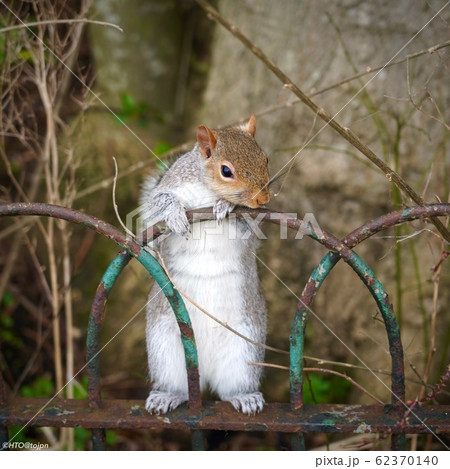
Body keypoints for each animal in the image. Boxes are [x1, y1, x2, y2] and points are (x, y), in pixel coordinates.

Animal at [140, 114, 270, 414]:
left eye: (265, 159)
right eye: (226, 171)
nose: (263, 199)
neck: (207, 190)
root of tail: (206, 373)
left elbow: (248, 227)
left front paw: (225, 205)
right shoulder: (166, 190)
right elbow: (157, 207)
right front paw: (175, 214)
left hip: (245, 350)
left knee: (232, 387)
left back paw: (245, 397)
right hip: (164, 347)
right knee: (179, 386)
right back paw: (167, 396)